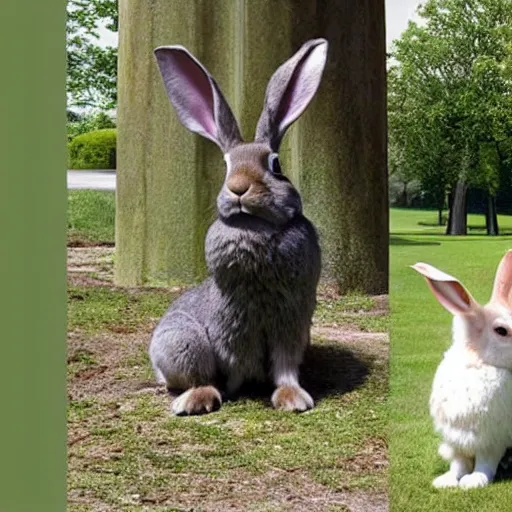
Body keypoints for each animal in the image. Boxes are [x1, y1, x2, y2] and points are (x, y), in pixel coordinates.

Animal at [150, 40, 330, 416]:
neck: (255, 227)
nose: (238, 188)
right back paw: (196, 400)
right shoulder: (233, 323)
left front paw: (294, 399)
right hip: (181, 342)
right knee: (194, 373)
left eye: (276, 164)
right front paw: (230, 389)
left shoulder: (291, 323)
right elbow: (231, 361)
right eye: (226, 166)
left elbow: (285, 366)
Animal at [412, 251, 512, 488]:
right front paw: (445, 481)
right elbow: (458, 464)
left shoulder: (491, 439)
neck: (478, 362)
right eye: (501, 331)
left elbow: (485, 463)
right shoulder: (456, 439)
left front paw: (474, 481)